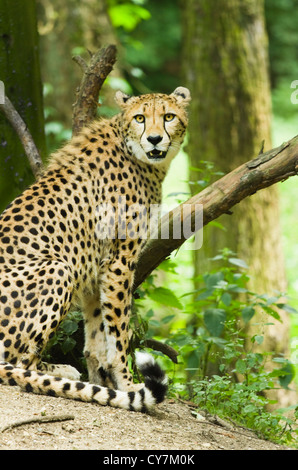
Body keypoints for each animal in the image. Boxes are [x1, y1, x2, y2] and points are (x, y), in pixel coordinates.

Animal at [0, 86, 191, 410]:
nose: (154, 139)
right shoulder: (119, 262)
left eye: (168, 116)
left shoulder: (96, 265)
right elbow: (119, 330)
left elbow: (97, 331)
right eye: (140, 118)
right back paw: (59, 372)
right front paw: (127, 384)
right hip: (58, 267)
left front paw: (101, 380)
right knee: (18, 360)